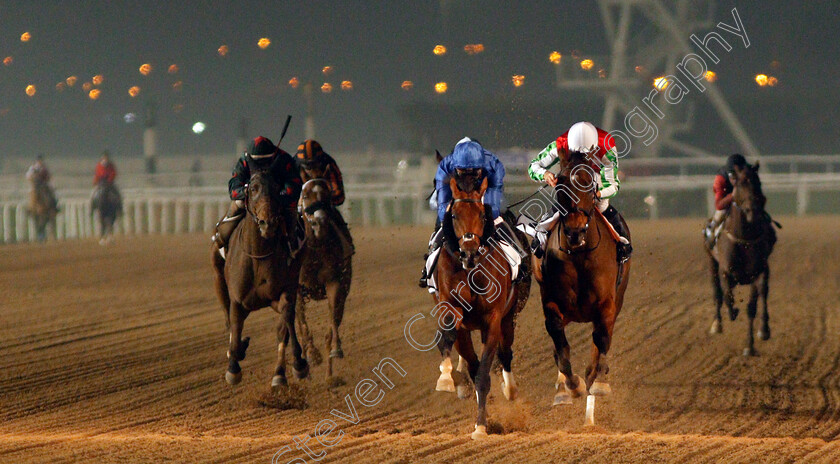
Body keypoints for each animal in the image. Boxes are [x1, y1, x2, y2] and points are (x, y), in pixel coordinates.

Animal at [212, 161, 310, 386]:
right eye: (253, 189)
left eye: (277, 189)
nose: (268, 222)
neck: (257, 256)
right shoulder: (238, 300)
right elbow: (235, 325)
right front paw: (233, 366)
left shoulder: (284, 291)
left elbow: (285, 322)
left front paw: (294, 366)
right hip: (219, 274)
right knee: (228, 318)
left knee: (285, 325)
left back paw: (286, 370)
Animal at [296, 179, 352, 378]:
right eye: (306, 195)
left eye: (328, 195)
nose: (320, 222)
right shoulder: (297, 288)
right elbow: (302, 325)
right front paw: (312, 355)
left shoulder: (334, 282)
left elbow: (333, 318)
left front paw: (336, 348)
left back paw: (329, 375)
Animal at [430, 177, 528, 438]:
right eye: (454, 215)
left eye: (482, 214)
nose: (469, 252)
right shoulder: (455, 315)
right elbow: (456, 347)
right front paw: (449, 379)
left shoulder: (492, 320)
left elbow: (484, 374)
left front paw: (481, 426)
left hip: (509, 317)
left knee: (505, 353)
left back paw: (511, 390)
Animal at [540, 153, 632, 406]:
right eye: (560, 184)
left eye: (589, 184)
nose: (575, 231)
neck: (579, 255)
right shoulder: (552, 304)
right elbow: (560, 346)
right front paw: (571, 386)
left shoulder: (607, 303)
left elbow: (601, 338)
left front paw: (598, 380)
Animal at [704, 161, 776, 358]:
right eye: (741, 184)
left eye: (758, 183)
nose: (754, 209)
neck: (744, 239)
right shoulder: (725, 270)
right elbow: (727, 297)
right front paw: (731, 313)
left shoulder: (759, 271)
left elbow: (753, 306)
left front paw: (753, 342)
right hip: (711, 262)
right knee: (717, 294)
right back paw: (717, 324)